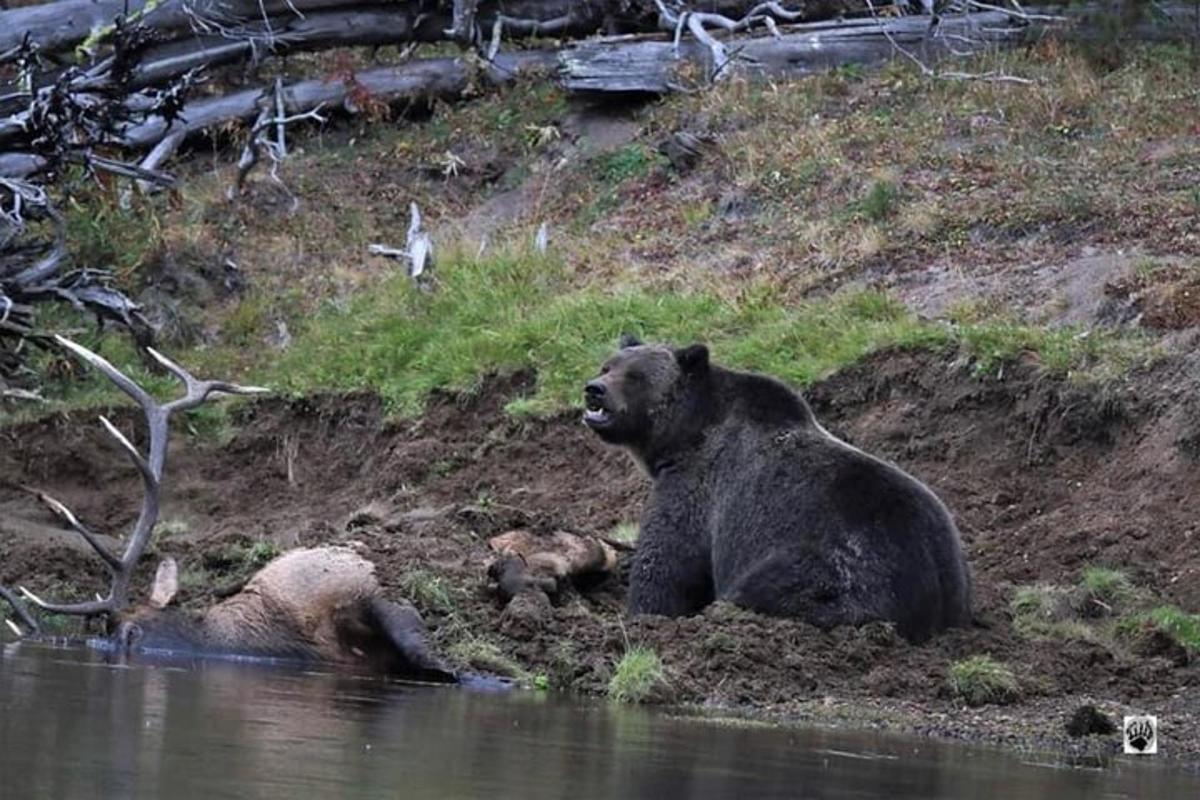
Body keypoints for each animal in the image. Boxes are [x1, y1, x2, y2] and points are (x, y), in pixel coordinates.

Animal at [585, 335, 969, 642]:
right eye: (607, 365)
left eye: (635, 376)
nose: (593, 389)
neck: (683, 434)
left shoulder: (697, 486)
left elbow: (667, 561)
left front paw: (645, 612)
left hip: (844, 568)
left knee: (768, 588)